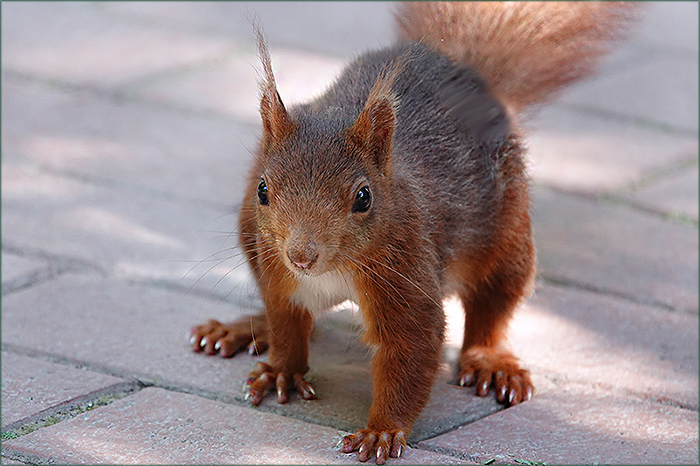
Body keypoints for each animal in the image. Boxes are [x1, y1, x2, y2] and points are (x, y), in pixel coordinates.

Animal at [190, 2, 637, 463]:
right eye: (263, 189)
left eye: (364, 197)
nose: (302, 255)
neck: (333, 272)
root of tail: (463, 69)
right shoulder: (278, 273)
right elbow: (286, 324)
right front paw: (281, 370)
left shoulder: (407, 270)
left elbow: (412, 349)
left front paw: (382, 431)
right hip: (249, 237)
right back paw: (242, 329)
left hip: (507, 236)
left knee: (494, 306)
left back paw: (490, 360)